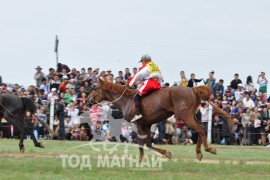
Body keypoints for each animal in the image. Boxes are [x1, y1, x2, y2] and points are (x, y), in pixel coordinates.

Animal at [88, 78, 234, 161]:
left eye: (95, 88)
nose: (88, 100)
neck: (126, 101)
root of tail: (193, 89)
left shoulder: (137, 124)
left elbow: (141, 143)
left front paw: (140, 161)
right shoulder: (146, 125)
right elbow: (148, 144)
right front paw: (166, 153)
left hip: (185, 116)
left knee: (201, 129)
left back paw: (209, 148)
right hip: (191, 115)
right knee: (201, 128)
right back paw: (199, 153)